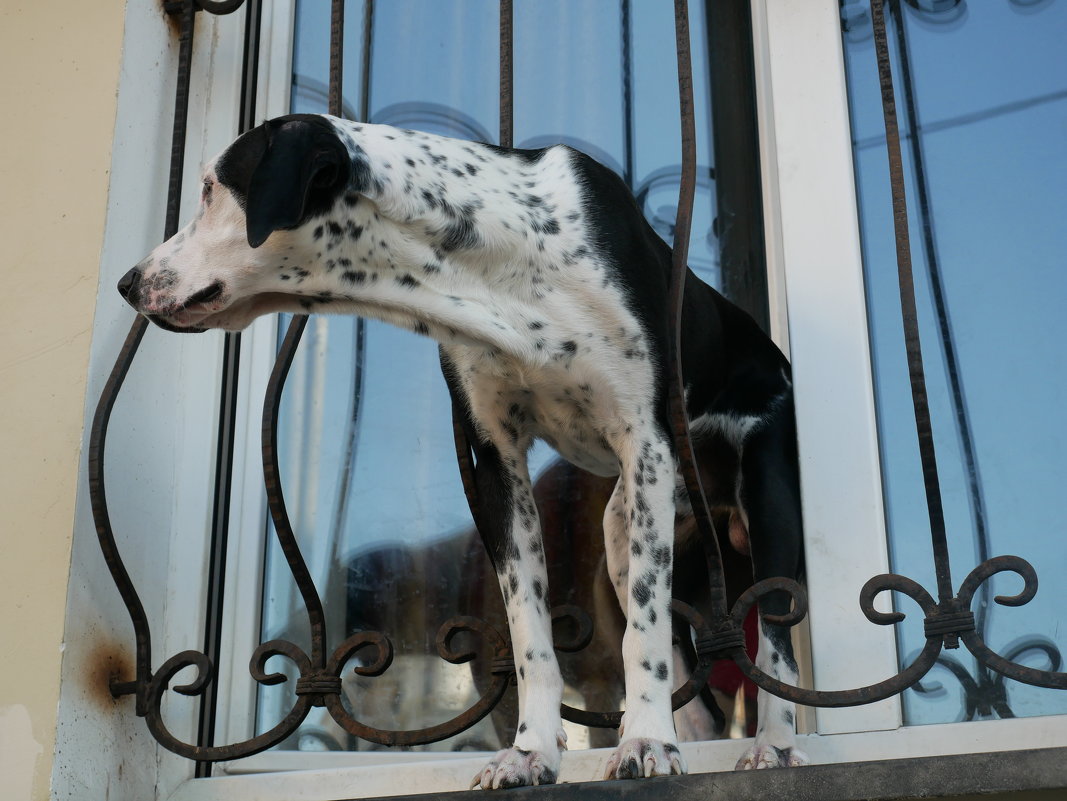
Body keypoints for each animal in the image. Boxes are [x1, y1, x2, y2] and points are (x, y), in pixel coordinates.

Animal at [116, 115, 802, 785]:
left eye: (211, 189)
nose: (127, 282)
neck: (498, 268)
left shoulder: (645, 444)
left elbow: (645, 632)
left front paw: (645, 743)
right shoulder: (497, 463)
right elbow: (530, 636)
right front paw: (531, 753)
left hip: (760, 514)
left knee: (774, 646)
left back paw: (771, 747)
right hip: (621, 530)